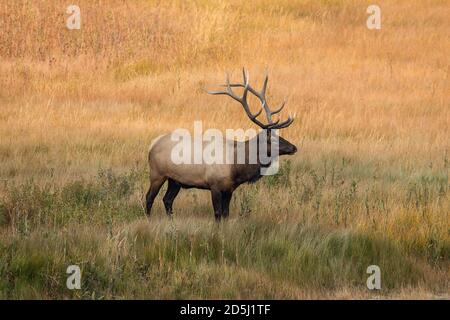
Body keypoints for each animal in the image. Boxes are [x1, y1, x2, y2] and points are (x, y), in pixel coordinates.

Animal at [146, 69, 298, 221]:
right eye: (273, 139)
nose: (294, 147)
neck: (236, 168)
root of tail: (152, 145)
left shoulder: (229, 189)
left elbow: (226, 214)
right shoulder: (215, 185)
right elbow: (218, 214)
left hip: (175, 180)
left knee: (167, 199)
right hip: (157, 173)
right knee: (149, 197)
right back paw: (148, 218)